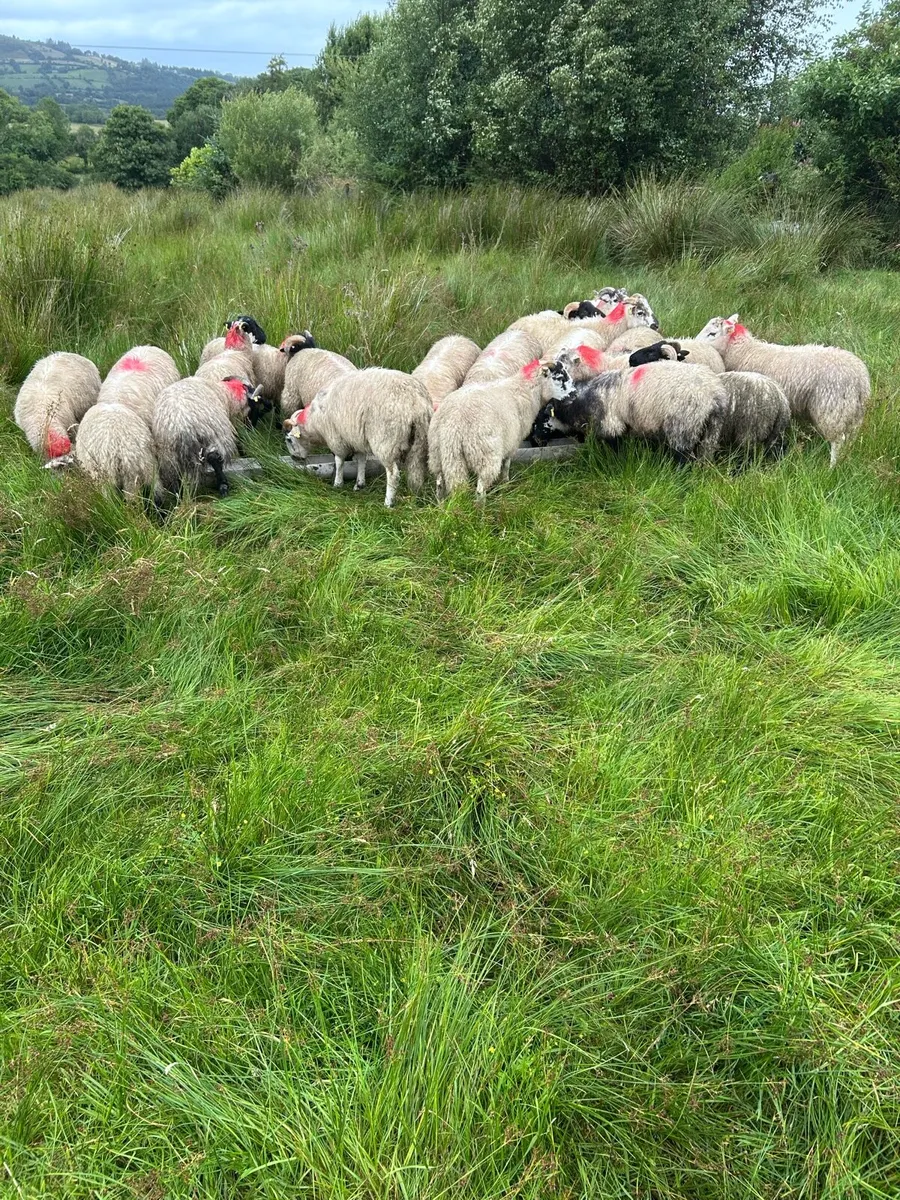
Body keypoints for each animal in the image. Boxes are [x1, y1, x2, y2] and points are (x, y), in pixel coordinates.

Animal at [283, 368, 431, 507]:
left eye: (289, 440)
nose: (294, 459)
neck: (314, 422)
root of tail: (415, 402)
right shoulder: (357, 438)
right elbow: (361, 460)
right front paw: (359, 484)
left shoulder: (336, 438)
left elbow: (339, 461)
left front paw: (338, 483)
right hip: (421, 440)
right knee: (417, 470)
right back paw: (416, 496)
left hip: (386, 441)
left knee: (393, 474)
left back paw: (388, 503)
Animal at [429, 358, 576, 500]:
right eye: (560, 377)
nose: (575, 394)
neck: (525, 391)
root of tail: (454, 424)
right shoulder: (512, 442)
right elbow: (506, 465)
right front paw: (505, 484)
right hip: (485, 454)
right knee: (480, 490)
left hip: (441, 455)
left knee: (440, 483)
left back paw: (441, 503)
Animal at [544, 362, 726, 464]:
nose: (539, 440)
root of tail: (714, 393)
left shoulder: (611, 425)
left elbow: (615, 447)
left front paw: (615, 462)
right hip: (711, 430)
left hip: (684, 425)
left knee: (683, 456)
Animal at [695, 314, 870, 465]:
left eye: (712, 333)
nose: (694, 343)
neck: (745, 351)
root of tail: (861, 378)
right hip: (853, 411)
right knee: (849, 438)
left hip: (832, 407)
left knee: (838, 440)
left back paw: (832, 467)